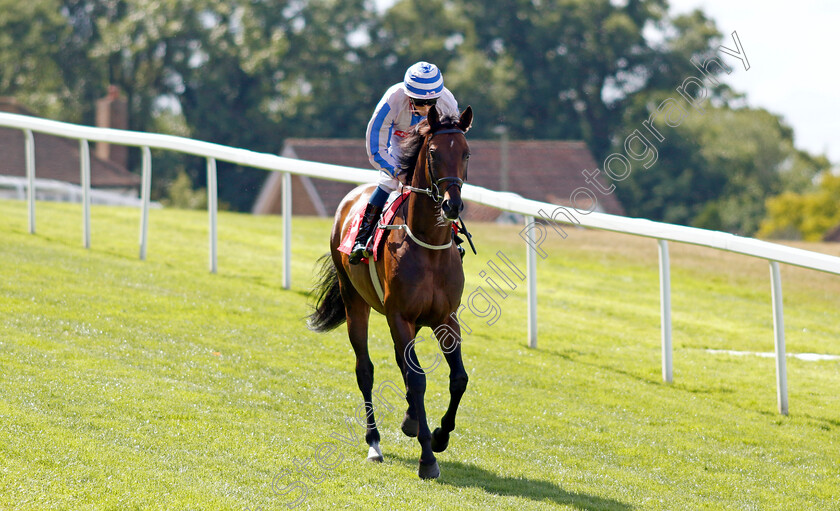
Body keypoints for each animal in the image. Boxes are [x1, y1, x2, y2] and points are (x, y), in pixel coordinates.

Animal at [308, 105, 476, 480]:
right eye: (433, 153)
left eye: (466, 153)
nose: (452, 205)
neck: (428, 246)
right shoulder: (400, 315)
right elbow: (417, 380)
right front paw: (427, 458)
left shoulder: (445, 318)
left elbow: (458, 378)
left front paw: (440, 435)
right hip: (355, 301)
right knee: (365, 369)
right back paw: (374, 443)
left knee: (402, 363)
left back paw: (411, 421)